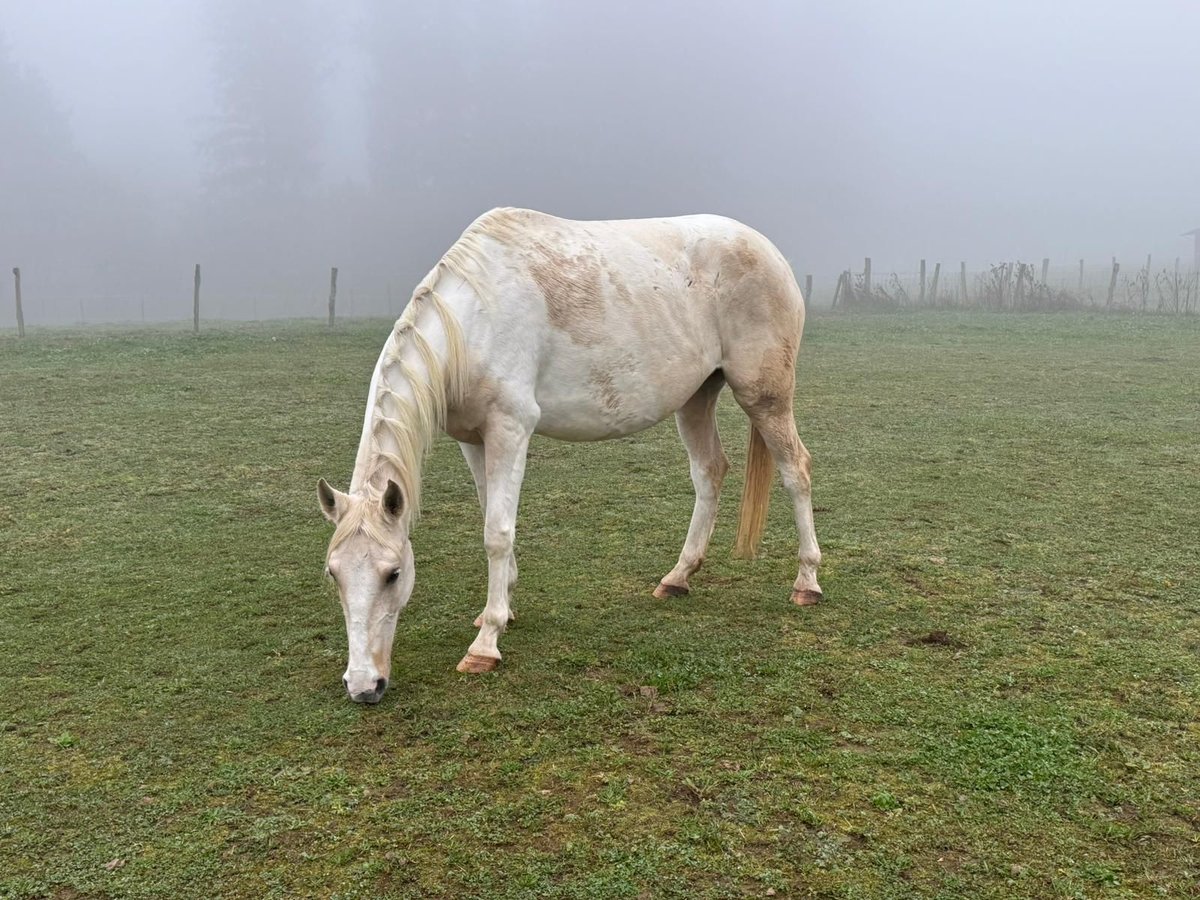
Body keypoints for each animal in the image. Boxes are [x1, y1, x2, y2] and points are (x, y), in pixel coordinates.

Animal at [319, 210, 820, 705]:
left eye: (393, 574)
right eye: (333, 574)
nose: (363, 686)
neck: (475, 320)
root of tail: (768, 251)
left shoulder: (510, 428)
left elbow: (496, 533)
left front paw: (485, 645)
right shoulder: (473, 439)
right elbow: (490, 515)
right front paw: (500, 611)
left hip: (765, 396)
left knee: (796, 471)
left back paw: (807, 583)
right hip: (696, 398)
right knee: (709, 472)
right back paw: (677, 577)